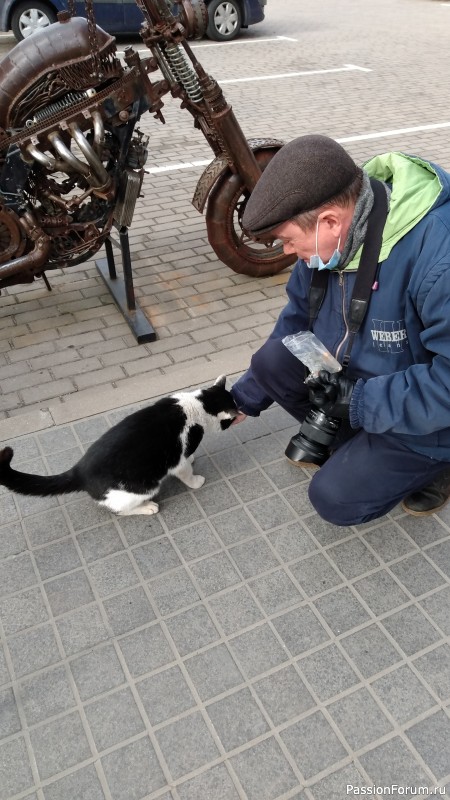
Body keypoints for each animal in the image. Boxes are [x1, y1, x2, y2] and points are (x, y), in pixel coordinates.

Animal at [0, 376, 237, 516]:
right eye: (229, 421)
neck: (196, 404)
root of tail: (78, 470)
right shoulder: (176, 460)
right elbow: (186, 472)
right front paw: (196, 481)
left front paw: (192, 457)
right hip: (143, 487)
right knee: (120, 510)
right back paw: (147, 507)